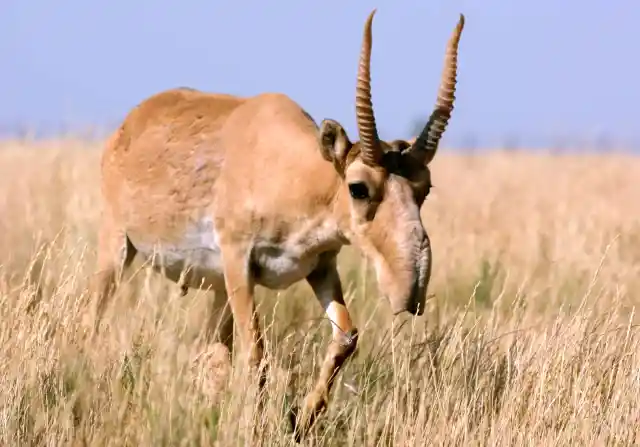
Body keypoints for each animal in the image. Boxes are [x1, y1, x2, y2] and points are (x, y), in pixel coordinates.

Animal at [90, 9, 464, 440]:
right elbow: (256, 351)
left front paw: (301, 419)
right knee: (94, 317)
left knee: (212, 353)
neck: (293, 171)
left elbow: (346, 336)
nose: (411, 288)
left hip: (216, 289)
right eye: (358, 187)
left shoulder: (320, 266)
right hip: (118, 249)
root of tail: (130, 123)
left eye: (425, 186)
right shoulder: (239, 263)